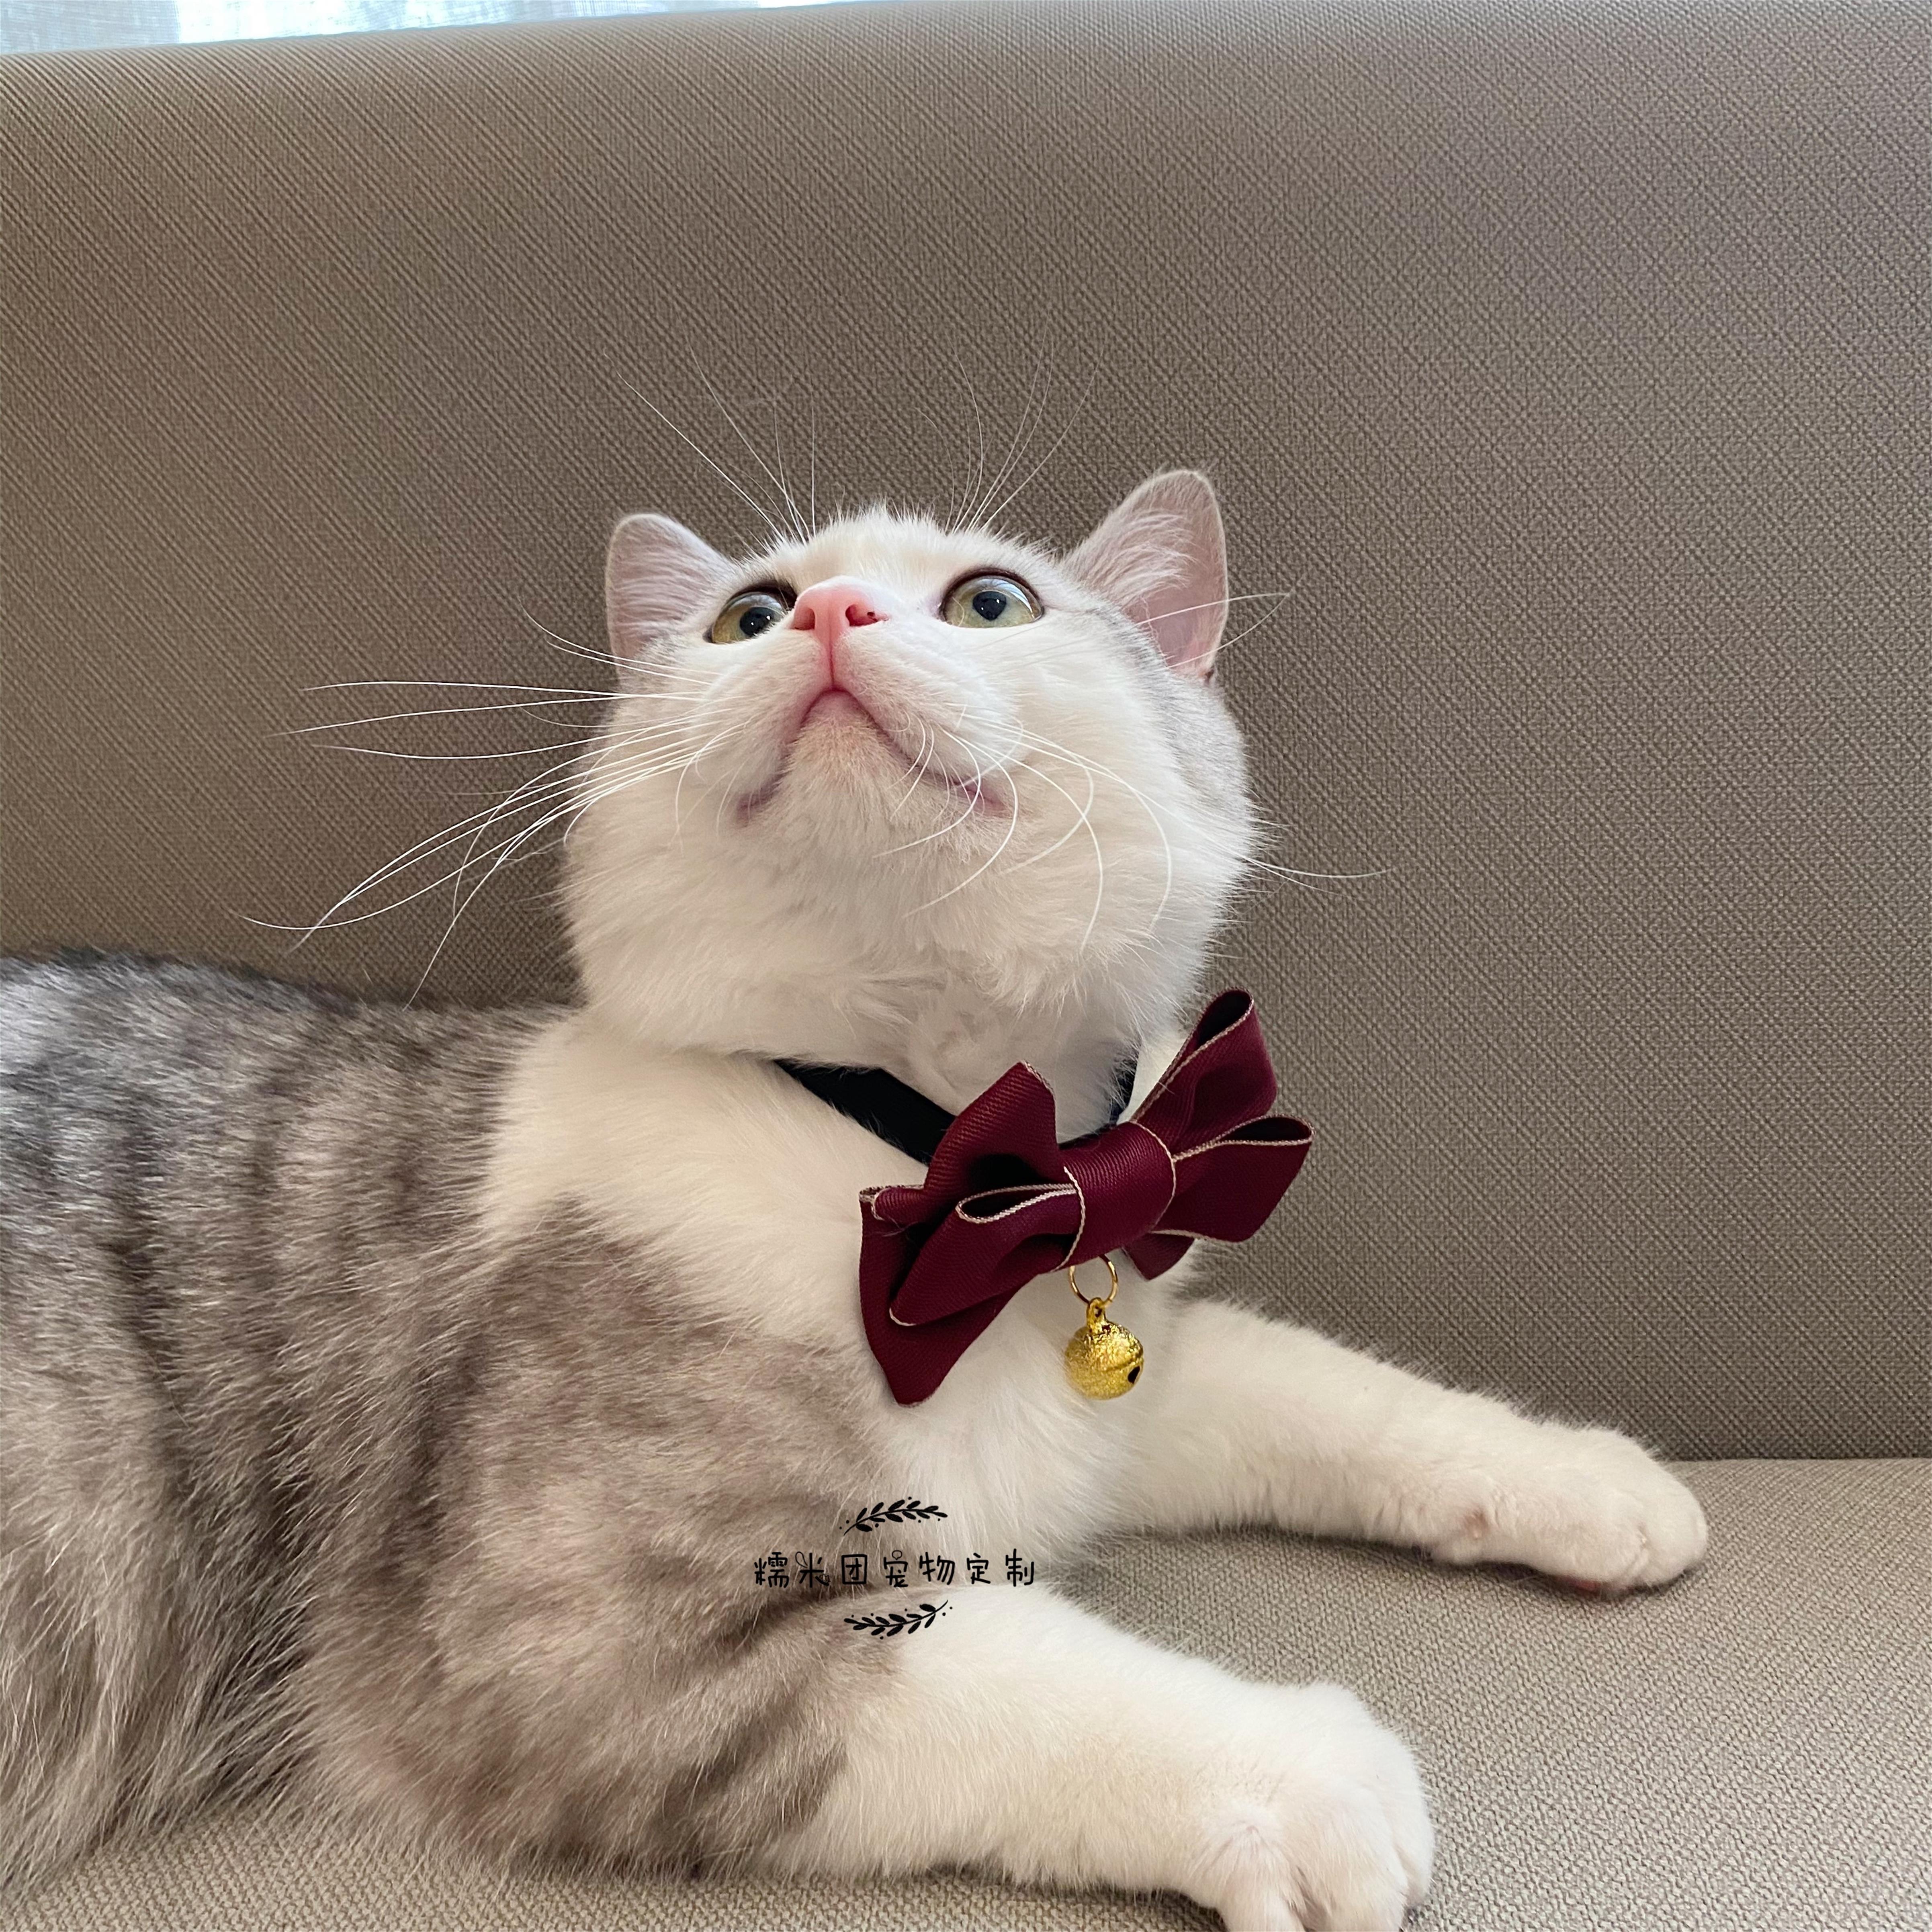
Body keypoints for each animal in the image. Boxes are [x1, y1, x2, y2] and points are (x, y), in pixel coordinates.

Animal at [0, 470, 1707, 1929]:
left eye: (992, 599)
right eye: (745, 613)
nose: (827, 614)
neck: (931, 1158)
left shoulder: (1107, 1404)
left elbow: (1321, 1388)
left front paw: (1576, 1475)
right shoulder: (559, 1644)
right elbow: (1006, 1676)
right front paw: (1300, 1768)